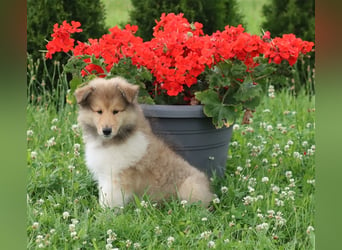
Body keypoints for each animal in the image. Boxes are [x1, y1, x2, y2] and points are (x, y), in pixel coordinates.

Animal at [75, 77, 214, 208]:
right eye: (99, 111)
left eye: (116, 111)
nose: (107, 131)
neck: (112, 141)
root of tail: (209, 190)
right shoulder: (104, 175)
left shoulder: (116, 177)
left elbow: (109, 200)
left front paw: (105, 213)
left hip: (189, 187)